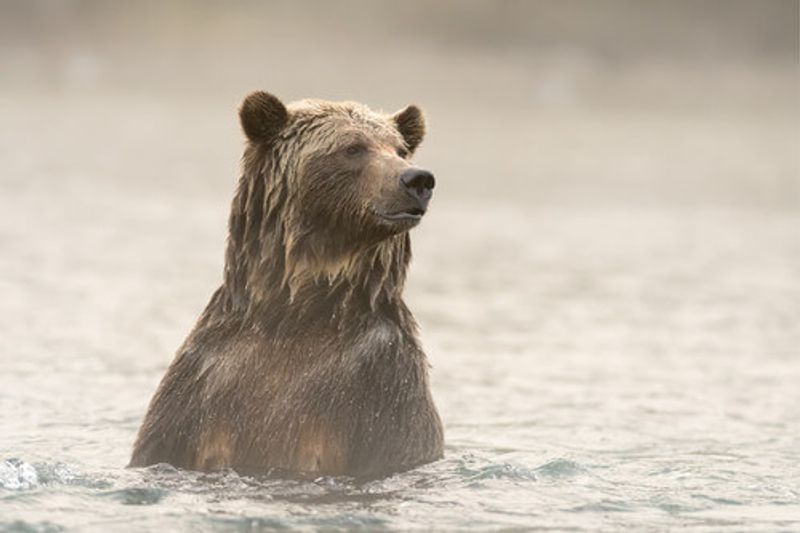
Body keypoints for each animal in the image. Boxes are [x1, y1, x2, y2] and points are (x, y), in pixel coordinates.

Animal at [130, 91, 444, 478]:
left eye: (399, 150)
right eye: (353, 147)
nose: (417, 179)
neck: (294, 315)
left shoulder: (384, 382)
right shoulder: (198, 384)